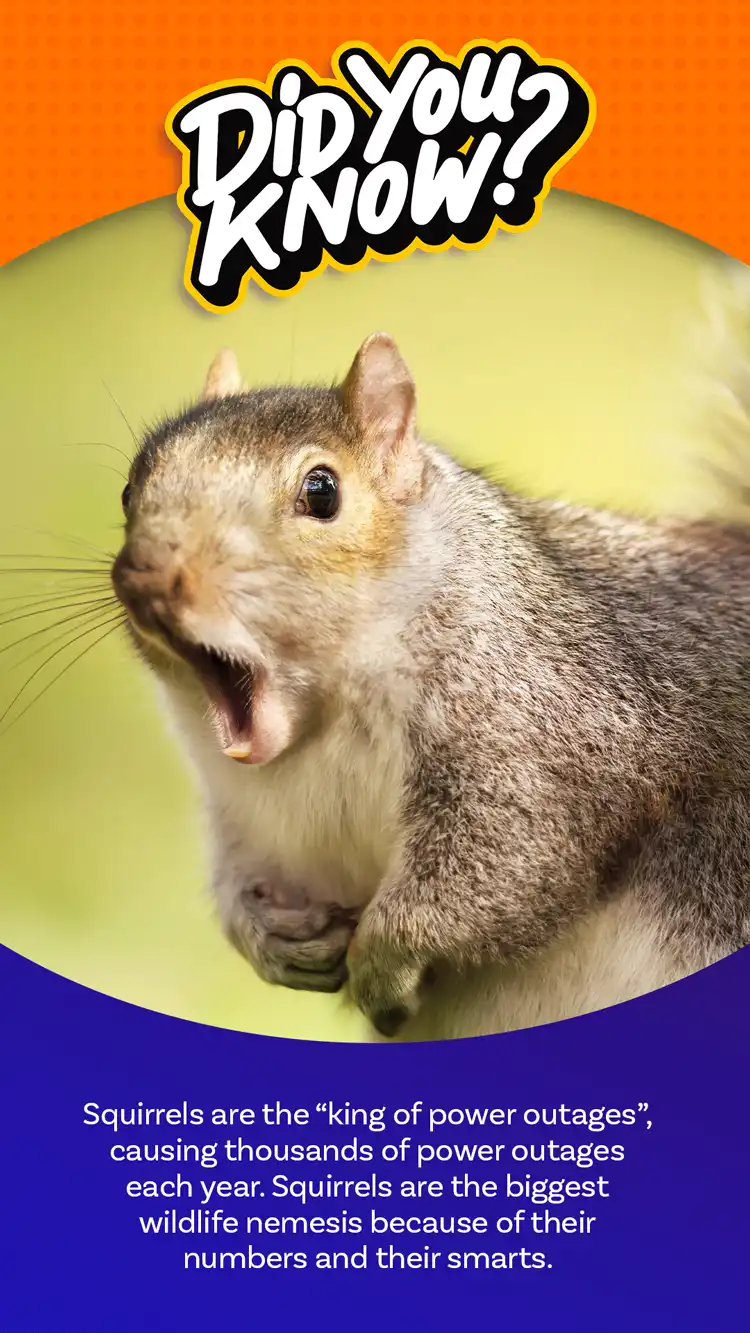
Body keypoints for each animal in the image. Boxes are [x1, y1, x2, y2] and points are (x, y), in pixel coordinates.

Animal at [111, 261, 750, 1041]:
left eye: (321, 492)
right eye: (129, 490)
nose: (146, 576)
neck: (323, 728)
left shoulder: (549, 724)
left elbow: (505, 862)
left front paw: (380, 964)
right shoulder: (242, 813)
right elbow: (238, 880)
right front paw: (266, 936)